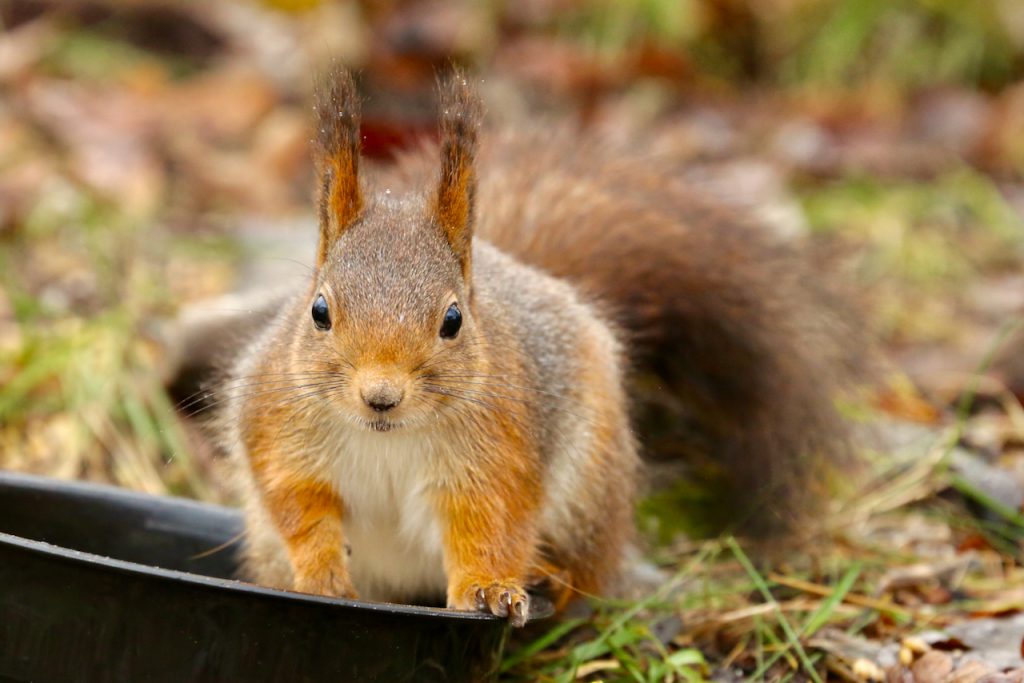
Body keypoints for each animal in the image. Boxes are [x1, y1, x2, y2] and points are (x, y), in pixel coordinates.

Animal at [218, 66, 864, 626]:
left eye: (453, 320)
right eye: (319, 311)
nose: (381, 396)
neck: (388, 438)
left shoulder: (498, 449)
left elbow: (492, 523)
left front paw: (488, 590)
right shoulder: (279, 426)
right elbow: (296, 502)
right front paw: (320, 572)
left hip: (589, 494)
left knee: (587, 571)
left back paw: (554, 579)